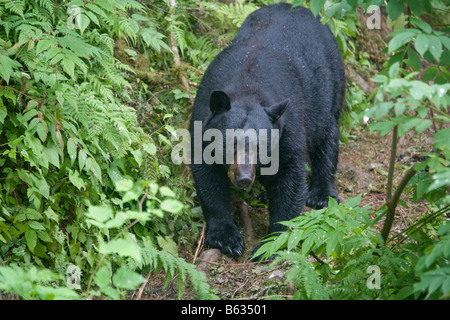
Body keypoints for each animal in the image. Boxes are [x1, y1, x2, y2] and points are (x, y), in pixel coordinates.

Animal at [189, 2, 344, 258]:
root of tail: (300, 8)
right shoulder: (202, 120)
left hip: (330, 85)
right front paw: (225, 237)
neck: (246, 88)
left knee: (326, 138)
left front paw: (271, 243)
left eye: (260, 147)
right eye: (231, 144)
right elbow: (208, 178)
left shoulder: (287, 128)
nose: (243, 178)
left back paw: (321, 195)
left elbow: (290, 178)